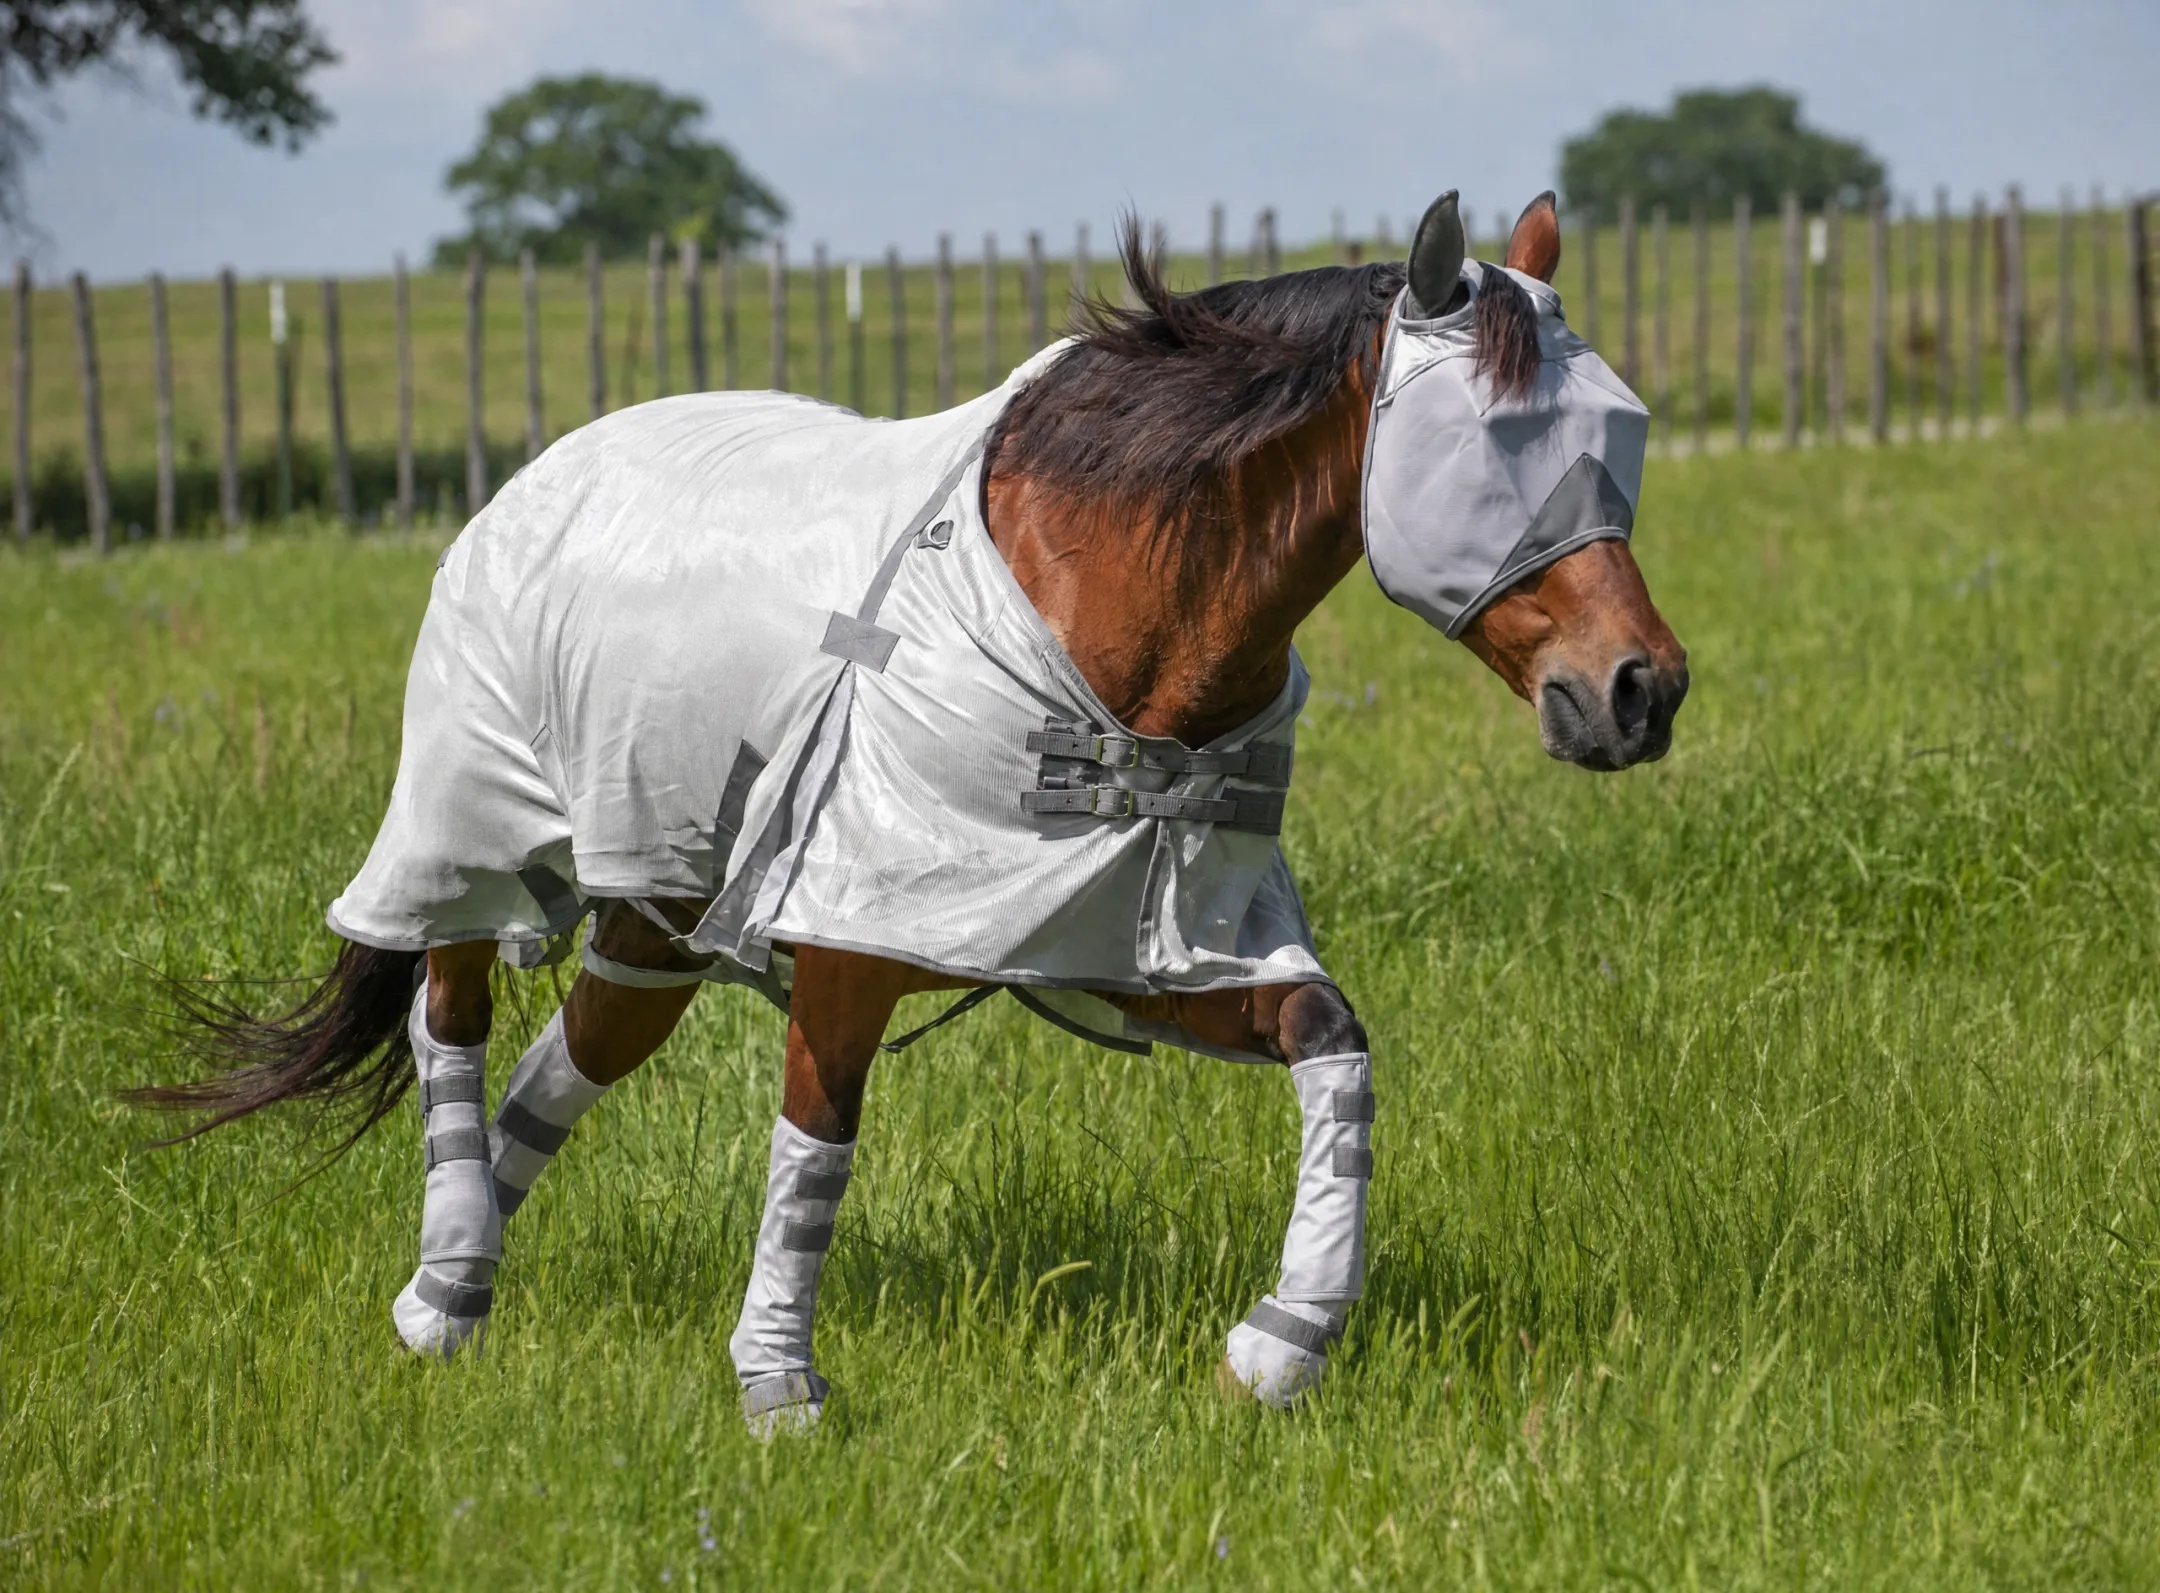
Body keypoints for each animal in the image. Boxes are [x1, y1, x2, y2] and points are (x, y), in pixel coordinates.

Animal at [132, 189, 1688, 1430]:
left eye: (1622, 430)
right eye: (1497, 441)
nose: (1640, 689)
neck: (1108, 614)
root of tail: (536, 475)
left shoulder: (1136, 946)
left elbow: (1332, 1042)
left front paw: (1280, 1346)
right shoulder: (851, 939)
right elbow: (816, 1138)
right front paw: (780, 1391)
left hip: (659, 912)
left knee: (564, 1060)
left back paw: (470, 1270)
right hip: (481, 836)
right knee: (446, 1006)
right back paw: (444, 1289)